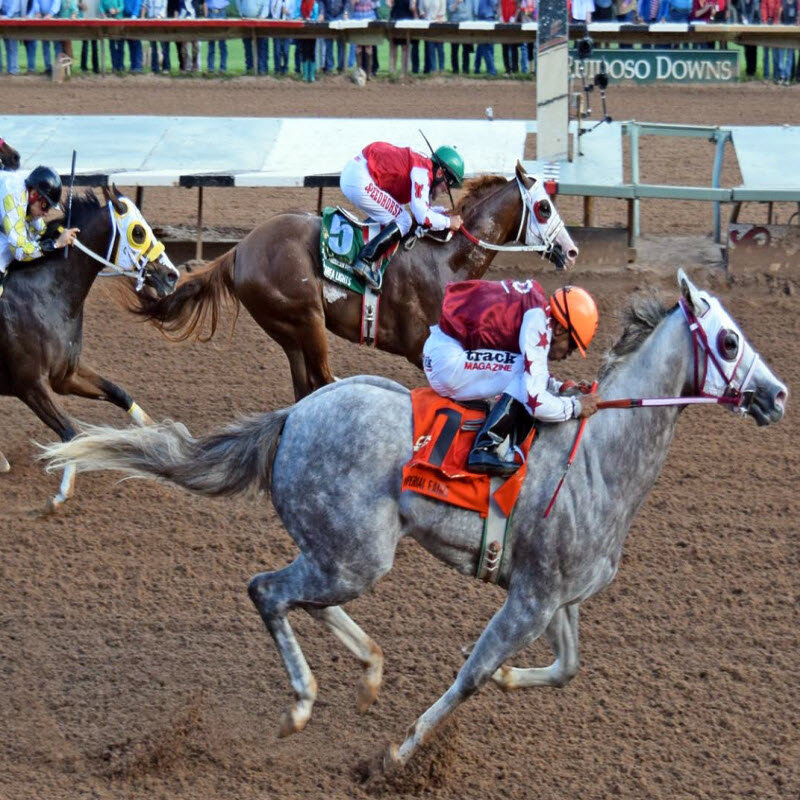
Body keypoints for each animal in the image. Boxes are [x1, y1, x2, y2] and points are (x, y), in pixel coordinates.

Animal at [0, 187, 178, 510]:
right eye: (138, 232)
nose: (173, 276)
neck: (46, 296)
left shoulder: (65, 374)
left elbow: (119, 392)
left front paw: (155, 433)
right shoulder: (28, 384)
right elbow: (70, 431)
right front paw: (62, 492)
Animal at [43, 270, 788, 768]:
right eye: (727, 341)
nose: (777, 394)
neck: (600, 458)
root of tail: (293, 416)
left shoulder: (557, 596)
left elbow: (566, 668)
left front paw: (512, 680)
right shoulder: (531, 598)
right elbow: (472, 675)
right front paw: (400, 755)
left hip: (343, 551)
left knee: (304, 598)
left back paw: (369, 670)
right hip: (357, 553)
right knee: (268, 591)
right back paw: (302, 702)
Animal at [134, 161, 580, 400]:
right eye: (543, 206)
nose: (571, 250)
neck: (447, 259)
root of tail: (240, 249)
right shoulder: (422, 348)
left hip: (288, 330)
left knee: (305, 385)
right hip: (306, 318)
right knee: (323, 379)